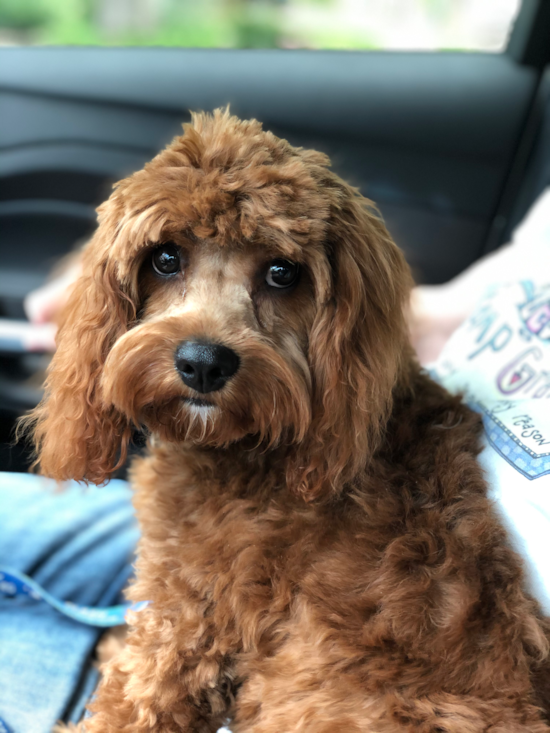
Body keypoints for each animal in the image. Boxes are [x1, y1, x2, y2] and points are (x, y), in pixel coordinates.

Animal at [24, 110, 550, 732]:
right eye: (165, 258)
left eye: (282, 272)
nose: (203, 362)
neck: (255, 454)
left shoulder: (191, 619)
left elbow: (134, 702)